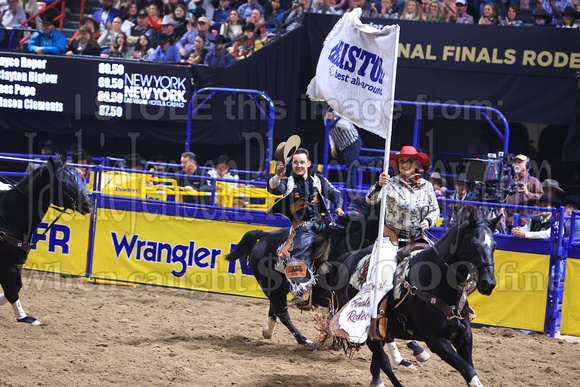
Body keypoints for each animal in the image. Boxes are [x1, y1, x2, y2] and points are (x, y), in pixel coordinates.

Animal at [0, 158, 92, 324]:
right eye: (62, 183)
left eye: (74, 178)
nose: (89, 204)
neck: (8, 215)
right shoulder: (6, 264)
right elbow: (12, 291)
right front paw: (25, 318)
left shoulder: (16, 262)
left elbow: (17, 287)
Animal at [336, 212, 502, 387]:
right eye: (473, 244)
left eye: (494, 245)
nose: (489, 283)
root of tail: (348, 258)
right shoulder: (435, 340)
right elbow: (468, 370)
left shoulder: (464, 335)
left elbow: (470, 367)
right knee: (384, 361)